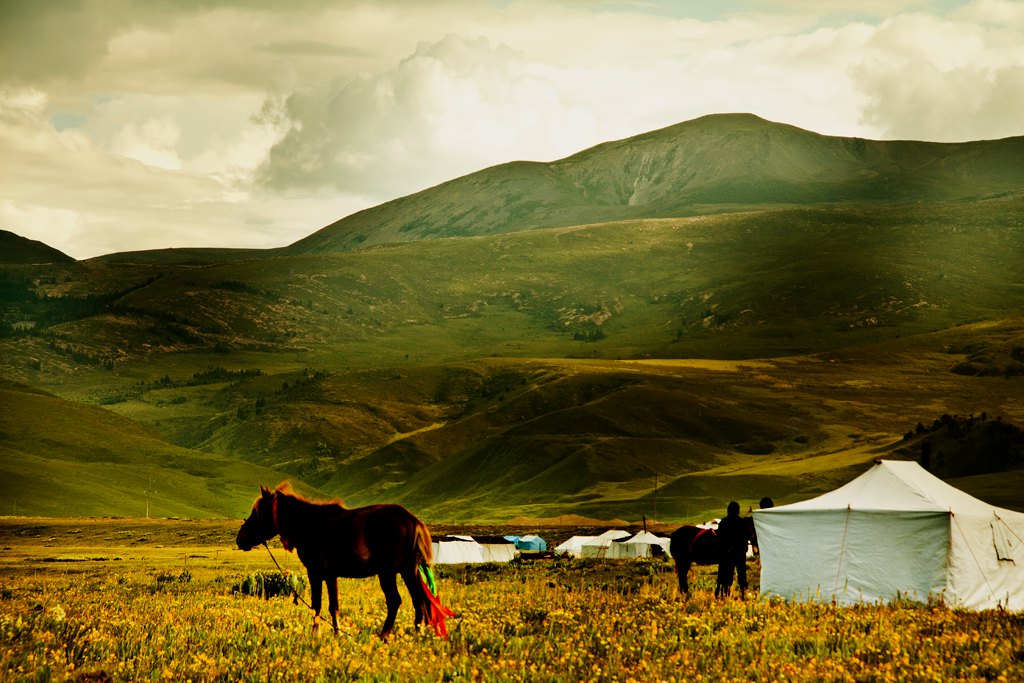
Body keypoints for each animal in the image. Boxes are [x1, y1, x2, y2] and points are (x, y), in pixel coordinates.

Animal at [237, 483, 454, 638]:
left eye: (257, 512)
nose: (240, 539)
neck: (309, 525)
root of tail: (412, 520)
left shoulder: (316, 573)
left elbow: (319, 605)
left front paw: (318, 634)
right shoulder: (330, 575)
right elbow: (333, 606)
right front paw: (336, 633)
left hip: (389, 572)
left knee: (395, 600)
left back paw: (384, 635)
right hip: (408, 569)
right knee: (419, 599)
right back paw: (418, 632)